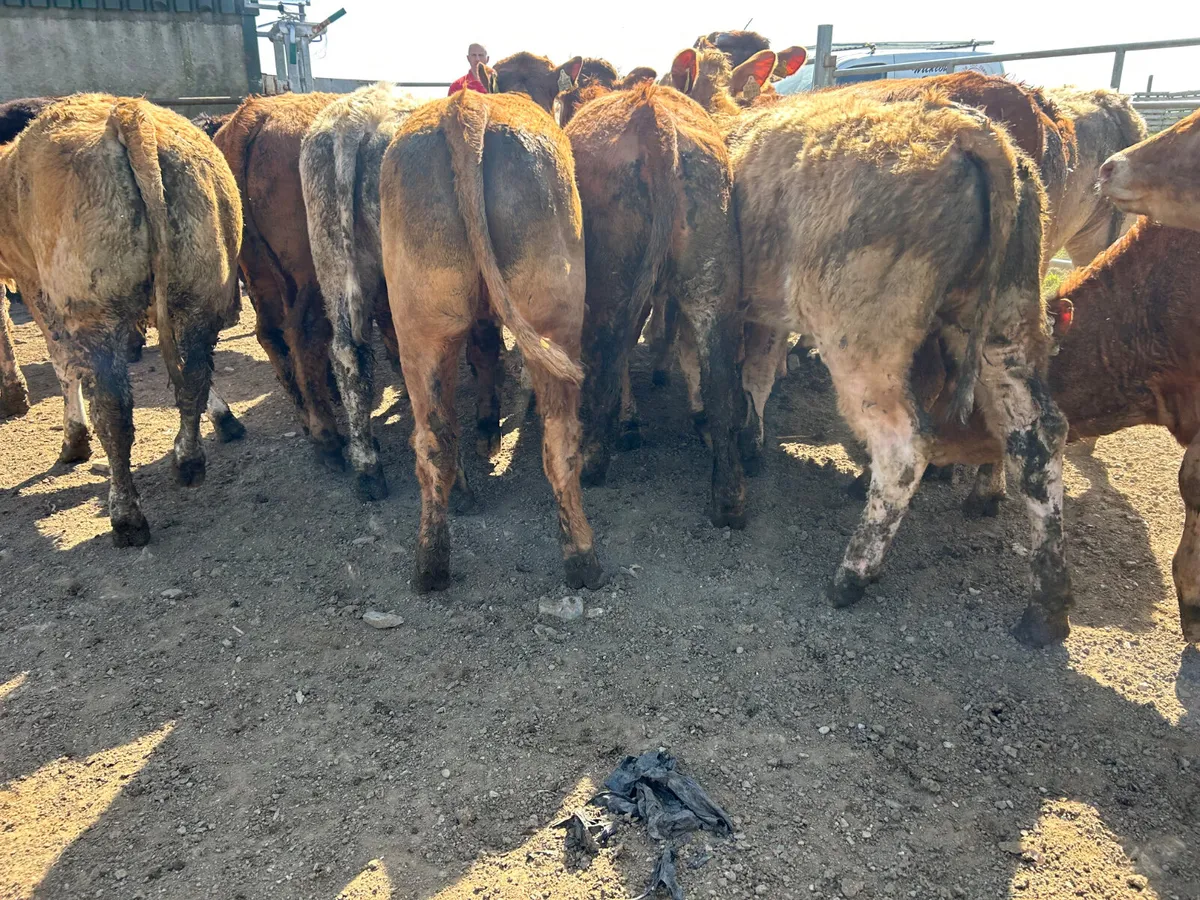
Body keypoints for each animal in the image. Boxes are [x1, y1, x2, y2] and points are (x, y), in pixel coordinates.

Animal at [0, 94, 243, 546]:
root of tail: (129, 115)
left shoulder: (36, 288)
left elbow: (61, 365)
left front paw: (69, 437)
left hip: (96, 309)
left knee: (113, 412)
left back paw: (126, 515)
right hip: (203, 286)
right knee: (194, 376)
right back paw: (188, 460)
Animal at [213, 93, 348, 467]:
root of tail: (253, 116)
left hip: (258, 274)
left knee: (271, 334)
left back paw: (306, 417)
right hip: (312, 274)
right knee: (304, 333)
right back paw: (327, 437)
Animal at [378, 78, 603, 592]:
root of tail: (468, 109)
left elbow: (484, 356)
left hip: (420, 323)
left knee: (433, 440)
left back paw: (431, 564)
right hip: (555, 316)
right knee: (560, 441)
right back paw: (583, 558)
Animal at [565, 81, 746, 527]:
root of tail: (653, 113)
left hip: (612, 279)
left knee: (611, 357)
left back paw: (594, 461)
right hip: (713, 274)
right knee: (721, 381)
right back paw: (729, 499)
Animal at [725, 84, 1071, 647]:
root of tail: (970, 131)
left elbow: (752, 375)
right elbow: (757, 372)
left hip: (865, 341)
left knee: (904, 447)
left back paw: (852, 574)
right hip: (1004, 320)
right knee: (1037, 435)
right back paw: (1047, 605)